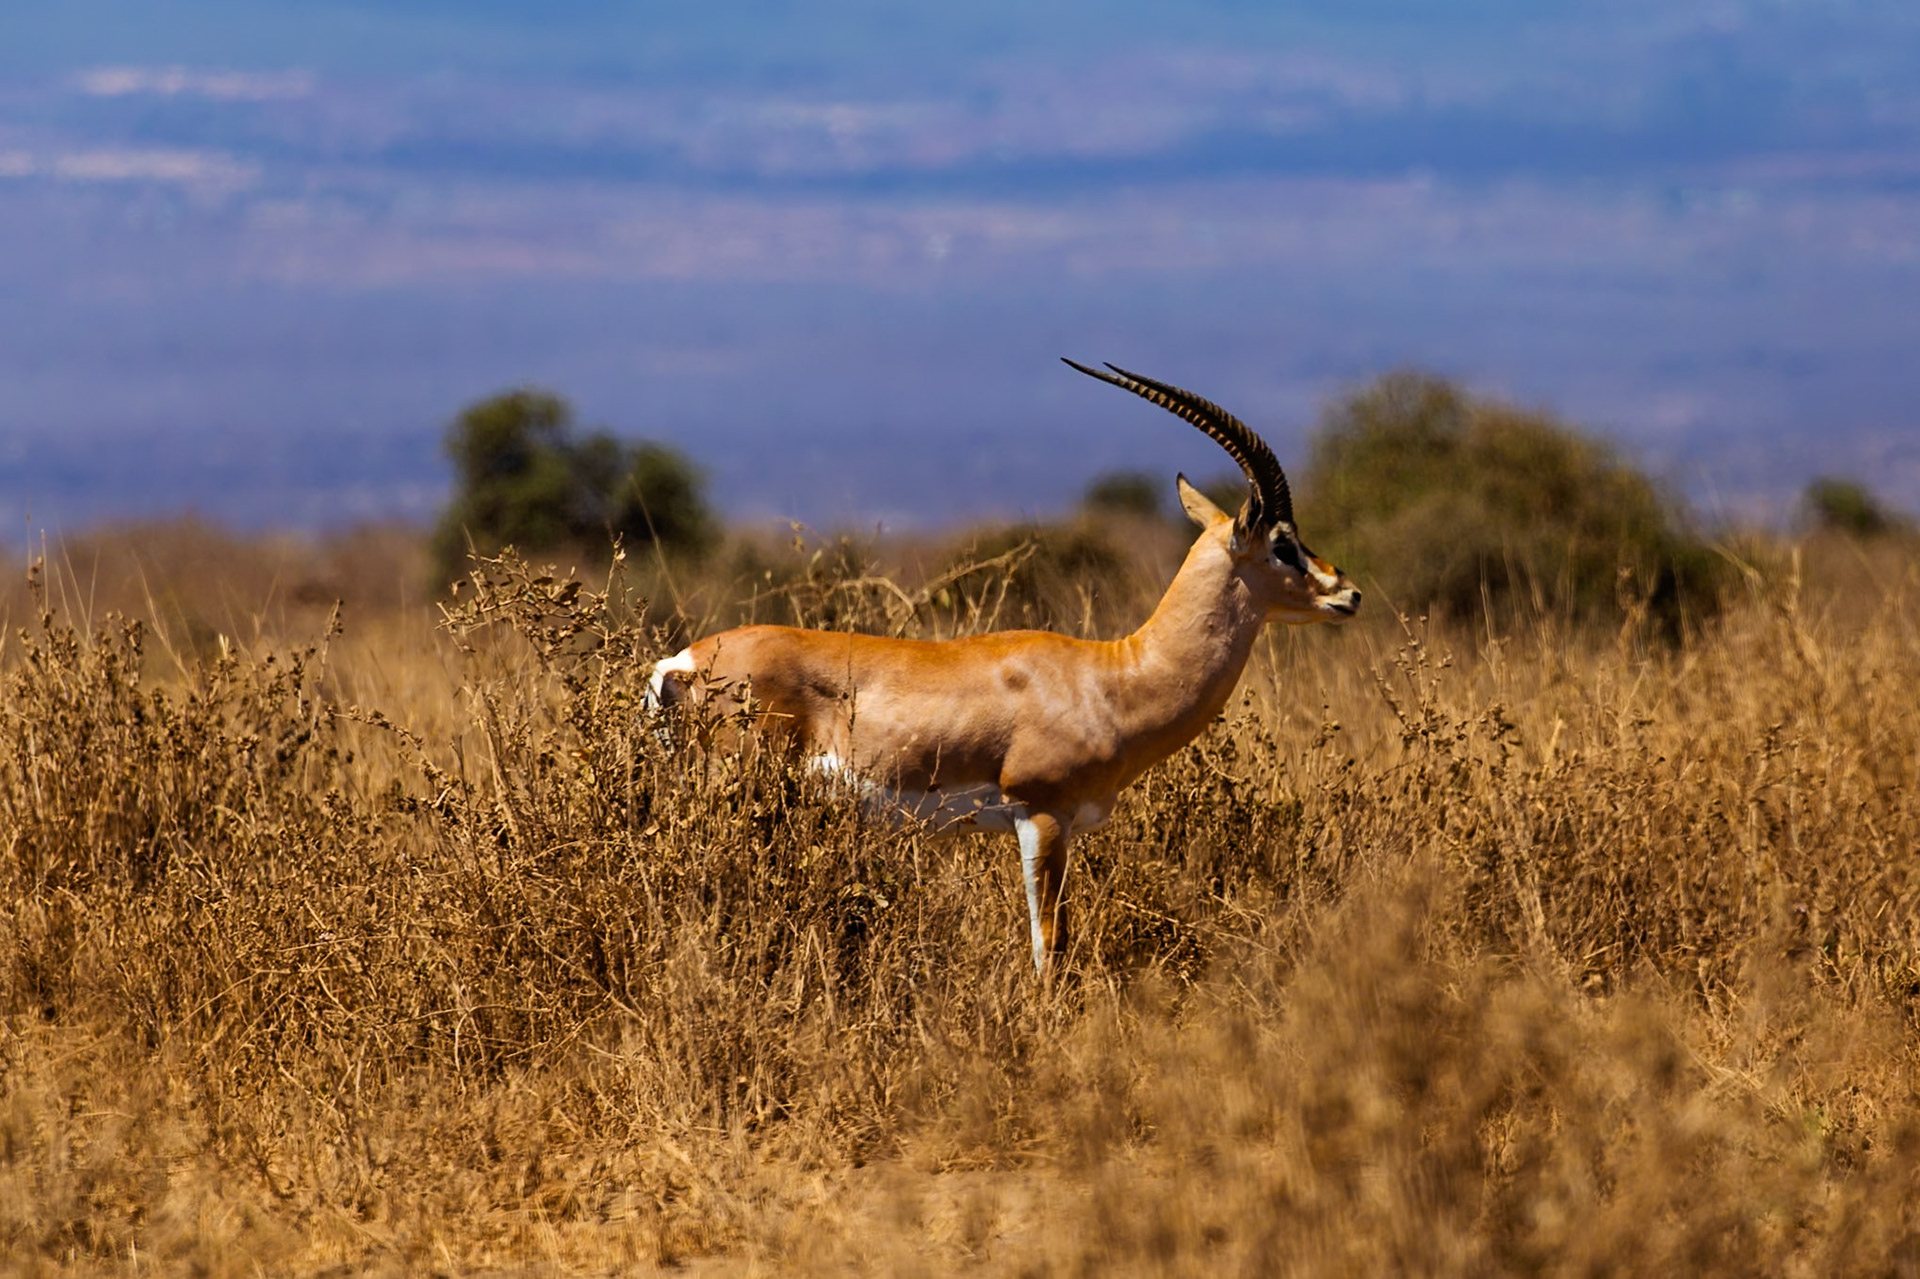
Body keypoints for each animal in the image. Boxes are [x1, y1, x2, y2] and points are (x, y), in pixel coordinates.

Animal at [649, 361, 1360, 973]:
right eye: (1284, 545)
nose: (1347, 593)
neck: (1110, 679)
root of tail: (684, 662)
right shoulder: (1041, 814)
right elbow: (1051, 943)